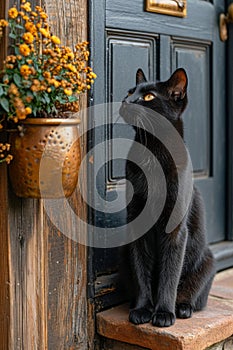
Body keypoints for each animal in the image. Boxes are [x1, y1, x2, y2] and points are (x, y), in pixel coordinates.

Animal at [119, 69, 216, 328]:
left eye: (149, 97)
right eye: (130, 92)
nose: (126, 101)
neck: (152, 151)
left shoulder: (175, 230)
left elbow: (169, 273)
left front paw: (163, 313)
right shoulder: (136, 225)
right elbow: (141, 271)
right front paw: (143, 309)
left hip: (208, 260)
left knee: (192, 294)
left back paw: (182, 308)